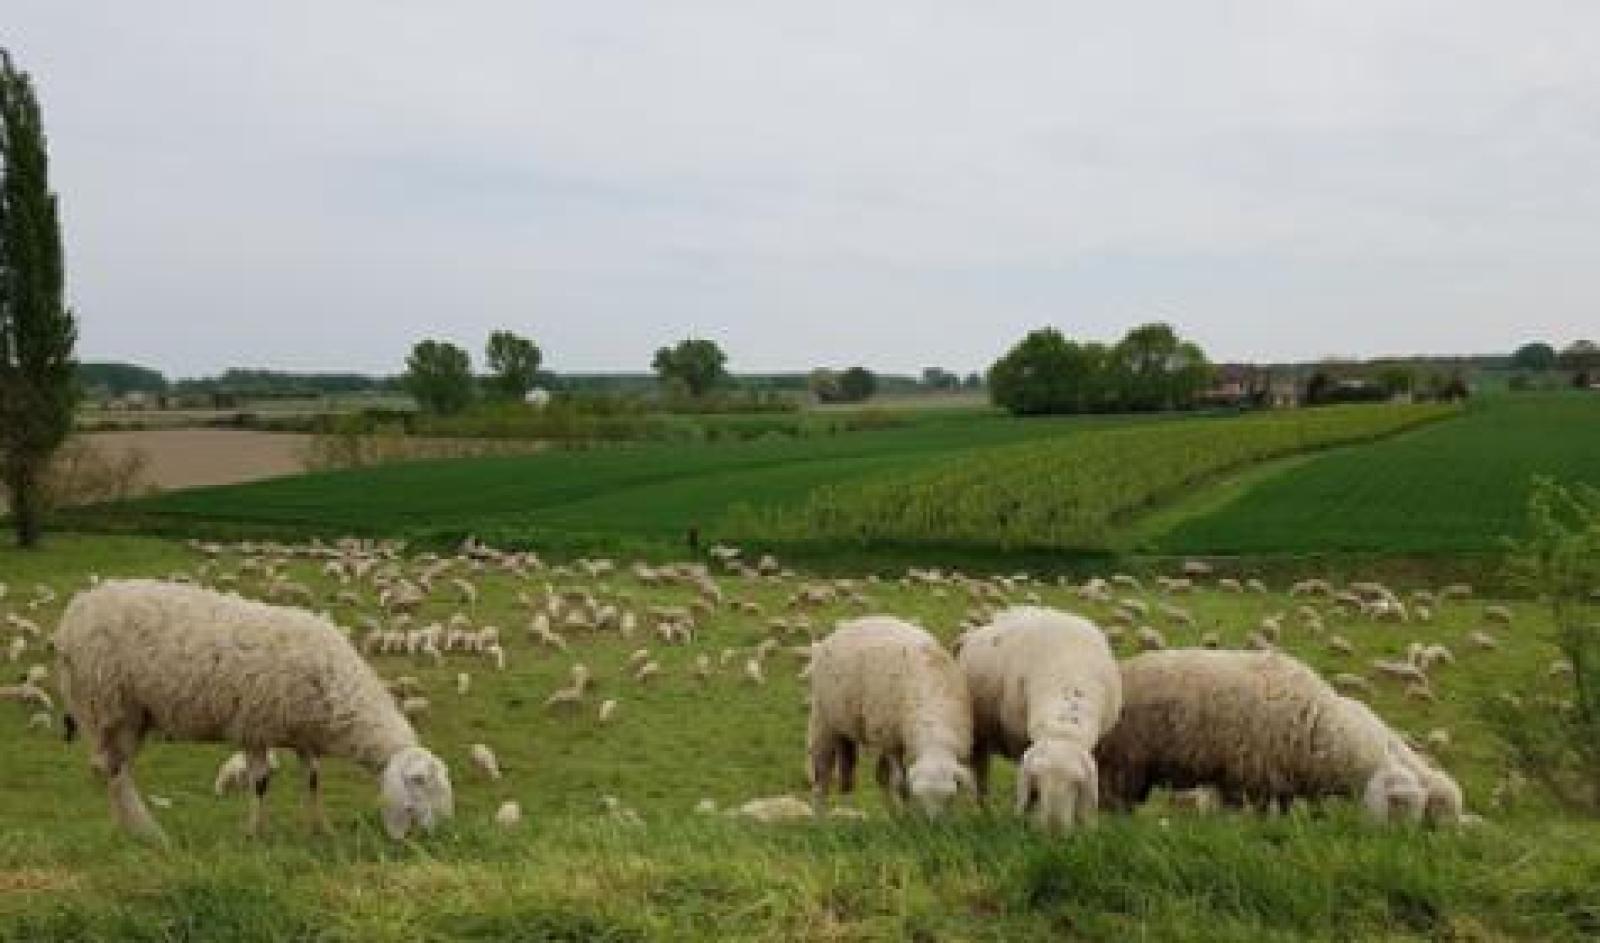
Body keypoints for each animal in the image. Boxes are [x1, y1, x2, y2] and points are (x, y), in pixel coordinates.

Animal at [54, 581, 453, 842]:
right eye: (420, 782)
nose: (439, 835)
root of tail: (77, 609)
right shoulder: (254, 728)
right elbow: (261, 782)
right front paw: (256, 832)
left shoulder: (303, 735)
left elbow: (313, 779)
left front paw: (319, 827)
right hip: (109, 704)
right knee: (115, 771)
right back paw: (146, 831)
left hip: (134, 716)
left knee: (114, 770)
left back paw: (128, 828)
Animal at [806, 616, 975, 816]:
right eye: (920, 797)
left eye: (950, 797)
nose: (934, 823)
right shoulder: (892, 743)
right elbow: (902, 786)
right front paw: (908, 817)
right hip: (825, 719)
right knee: (821, 777)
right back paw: (820, 817)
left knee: (880, 777)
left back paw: (893, 816)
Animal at [957, 607, 1122, 832]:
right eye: (1037, 779)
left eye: (1077, 782)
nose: (1053, 830)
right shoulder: (1021, 741)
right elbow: (1028, 796)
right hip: (980, 733)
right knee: (981, 776)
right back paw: (985, 813)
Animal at [1094, 650, 1463, 825]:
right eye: (1405, 805)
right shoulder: (1252, 770)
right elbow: (1252, 808)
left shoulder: (1281, 774)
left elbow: (1283, 808)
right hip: (1124, 760)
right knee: (1115, 800)